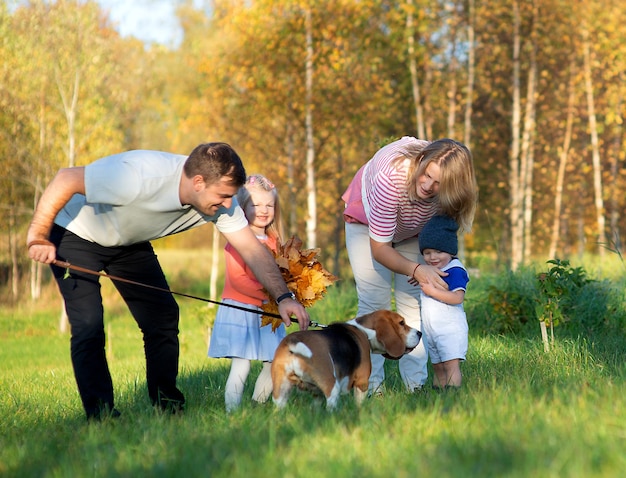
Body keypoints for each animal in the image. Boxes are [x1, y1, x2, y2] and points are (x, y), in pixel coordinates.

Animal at [270, 312, 420, 408]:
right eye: (401, 323)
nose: (420, 333)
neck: (364, 331)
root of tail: (291, 342)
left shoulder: (316, 393)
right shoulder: (362, 382)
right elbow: (359, 402)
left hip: (280, 391)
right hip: (332, 386)